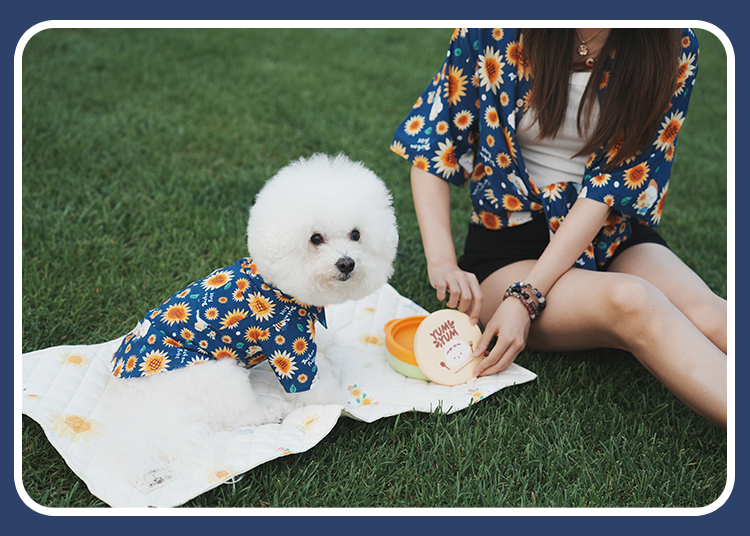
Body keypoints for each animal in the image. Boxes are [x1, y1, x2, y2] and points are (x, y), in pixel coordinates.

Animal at [100, 153, 400, 480]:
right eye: (315, 238)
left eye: (356, 234)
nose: (346, 263)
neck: (279, 286)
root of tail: (136, 411)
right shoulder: (287, 346)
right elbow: (310, 385)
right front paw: (333, 398)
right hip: (217, 376)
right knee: (237, 416)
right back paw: (270, 412)